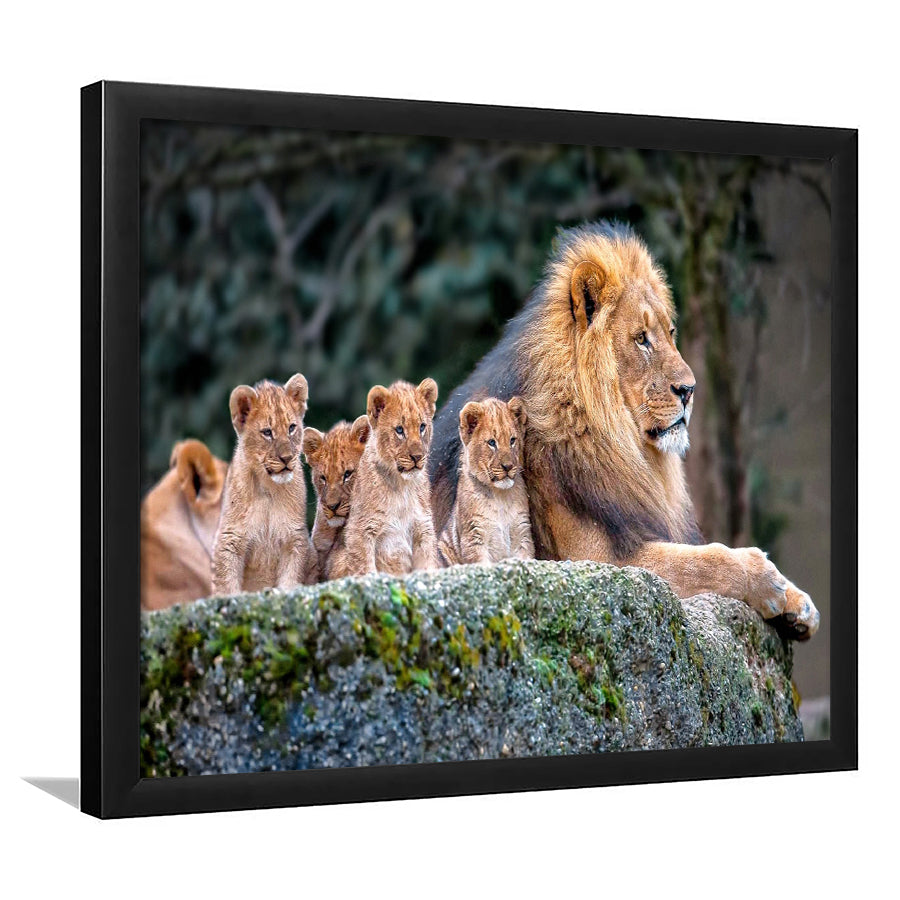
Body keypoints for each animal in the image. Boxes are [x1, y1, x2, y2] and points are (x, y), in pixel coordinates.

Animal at [211, 374, 315, 594]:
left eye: (291, 428)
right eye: (267, 432)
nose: (287, 458)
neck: (268, 489)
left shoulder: (295, 538)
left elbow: (290, 580)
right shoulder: (229, 539)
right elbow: (227, 585)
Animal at [329, 379, 439, 577]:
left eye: (422, 427)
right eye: (399, 430)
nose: (417, 457)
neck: (402, 486)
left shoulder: (423, 528)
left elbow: (428, 566)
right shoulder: (360, 531)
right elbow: (365, 569)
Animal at [437, 396, 534, 566]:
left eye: (512, 440)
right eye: (492, 443)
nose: (508, 467)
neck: (500, 496)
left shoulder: (522, 534)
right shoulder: (474, 536)